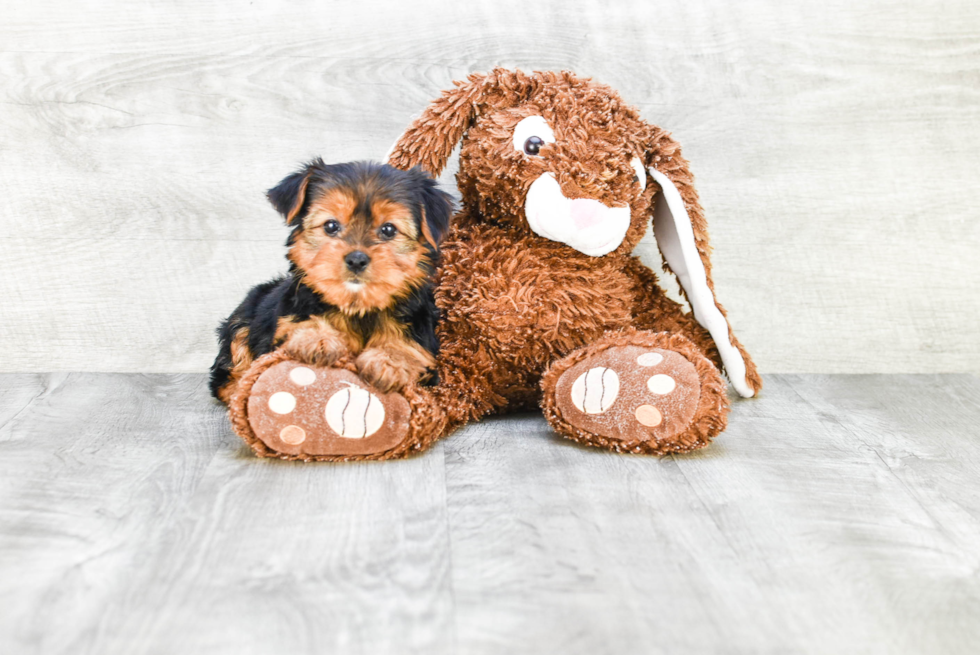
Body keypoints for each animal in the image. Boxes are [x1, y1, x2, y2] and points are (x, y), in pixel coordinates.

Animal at [209, 160, 454, 404]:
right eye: (331, 226)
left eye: (388, 229)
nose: (356, 259)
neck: (358, 306)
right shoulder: (284, 324)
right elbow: (297, 327)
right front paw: (317, 337)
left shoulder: (424, 342)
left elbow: (413, 350)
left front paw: (389, 360)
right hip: (244, 315)